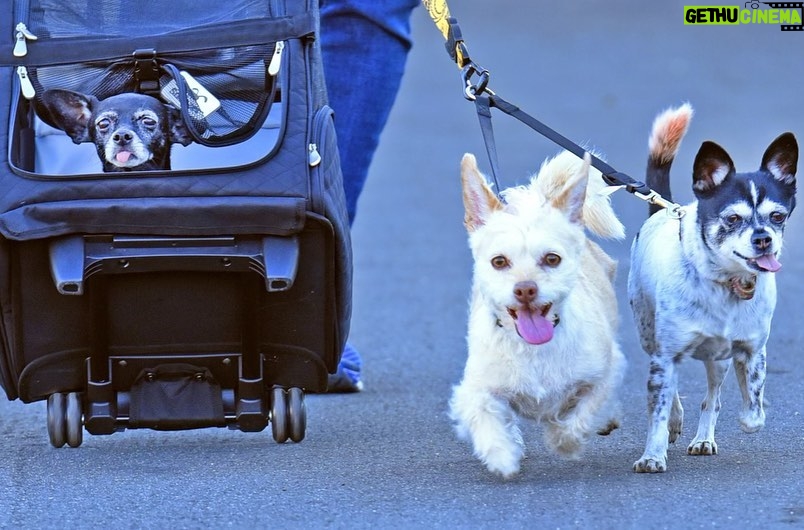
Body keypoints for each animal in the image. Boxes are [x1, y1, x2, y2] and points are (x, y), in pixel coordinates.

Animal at [450, 151, 624, 476]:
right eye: (499, 261)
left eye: (552, 259)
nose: (525, 289)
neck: (533, 348)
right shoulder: (476, 388)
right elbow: (487, 419)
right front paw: (503, 456)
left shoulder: (604, 374)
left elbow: (581, 417)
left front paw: (562, 439)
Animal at [628, 103, 796, 470]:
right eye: (732, 219)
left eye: (777, 217)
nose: (763, 238)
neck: (726, 283)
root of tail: (662, 210)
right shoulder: (665, 355)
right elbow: (658, 412)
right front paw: (652, 455)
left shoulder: (751, 351)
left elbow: (753, 410)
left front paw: (746, 416)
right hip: (649, 336)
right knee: (673, 394)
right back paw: (676, 421)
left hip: (716, 361)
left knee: (712, 397)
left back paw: (703, 438)